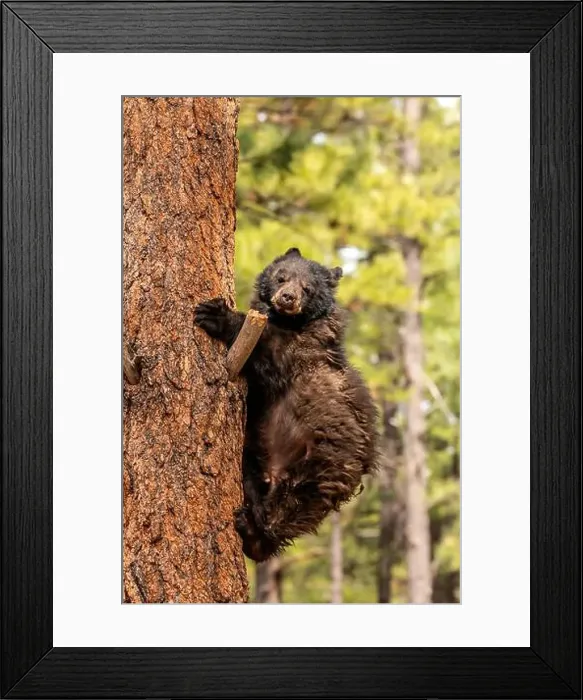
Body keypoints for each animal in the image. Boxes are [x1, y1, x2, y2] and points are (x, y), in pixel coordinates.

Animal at [194, 247, 378, 561]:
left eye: (308, 288)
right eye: (282, 276)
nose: (288, 297)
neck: (290, 323)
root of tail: (275, 471)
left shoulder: (302, 353)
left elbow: (269, 351)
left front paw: (217, 315)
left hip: (321, 465)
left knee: (292, 510)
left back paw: (256, 533)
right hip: (254, 454)